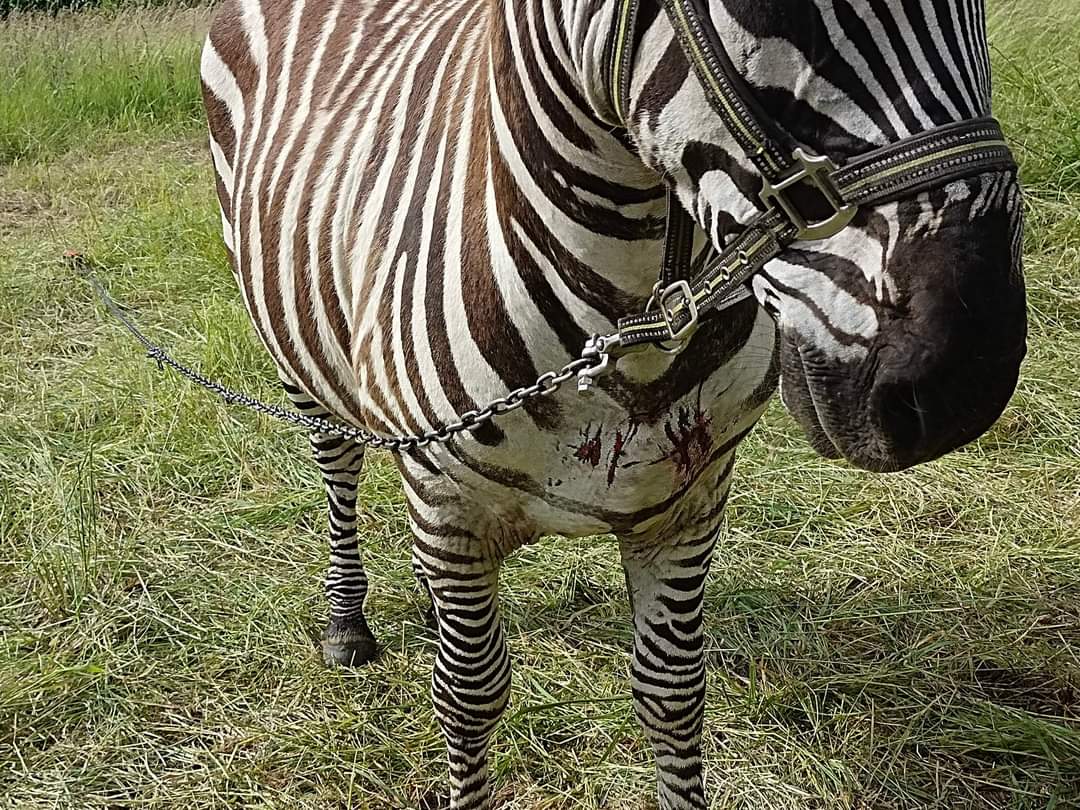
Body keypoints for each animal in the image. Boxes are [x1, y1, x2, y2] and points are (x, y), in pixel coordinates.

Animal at [200, 0, 1027, 807]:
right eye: (769, 10)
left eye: (981, 12)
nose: (968, 383)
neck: (627, 324)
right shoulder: (448, 502)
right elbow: (469, 697)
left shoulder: (690, 505)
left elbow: (672, 693)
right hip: (294, 348)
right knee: (337, 466)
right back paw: (346, 620)